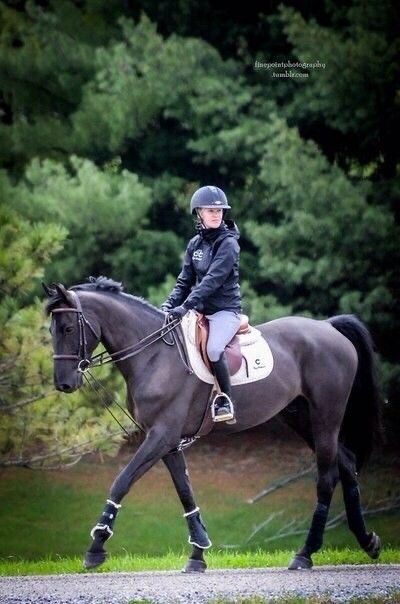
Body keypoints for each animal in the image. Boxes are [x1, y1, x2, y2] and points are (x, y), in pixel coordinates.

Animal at [42, 278, 382, 572]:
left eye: (68, 327)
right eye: (51, 330)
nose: (63, 383)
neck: (154, 354)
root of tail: (328, 326)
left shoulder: (160, 436)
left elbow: (121, 481)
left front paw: (96, 547)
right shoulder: (167, 441)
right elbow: (185, 492)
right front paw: (198, 553)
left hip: (326, 417)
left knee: (326, 478)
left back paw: (305, 554)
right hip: (301, 417)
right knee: (346, 464)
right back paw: (368, 542)